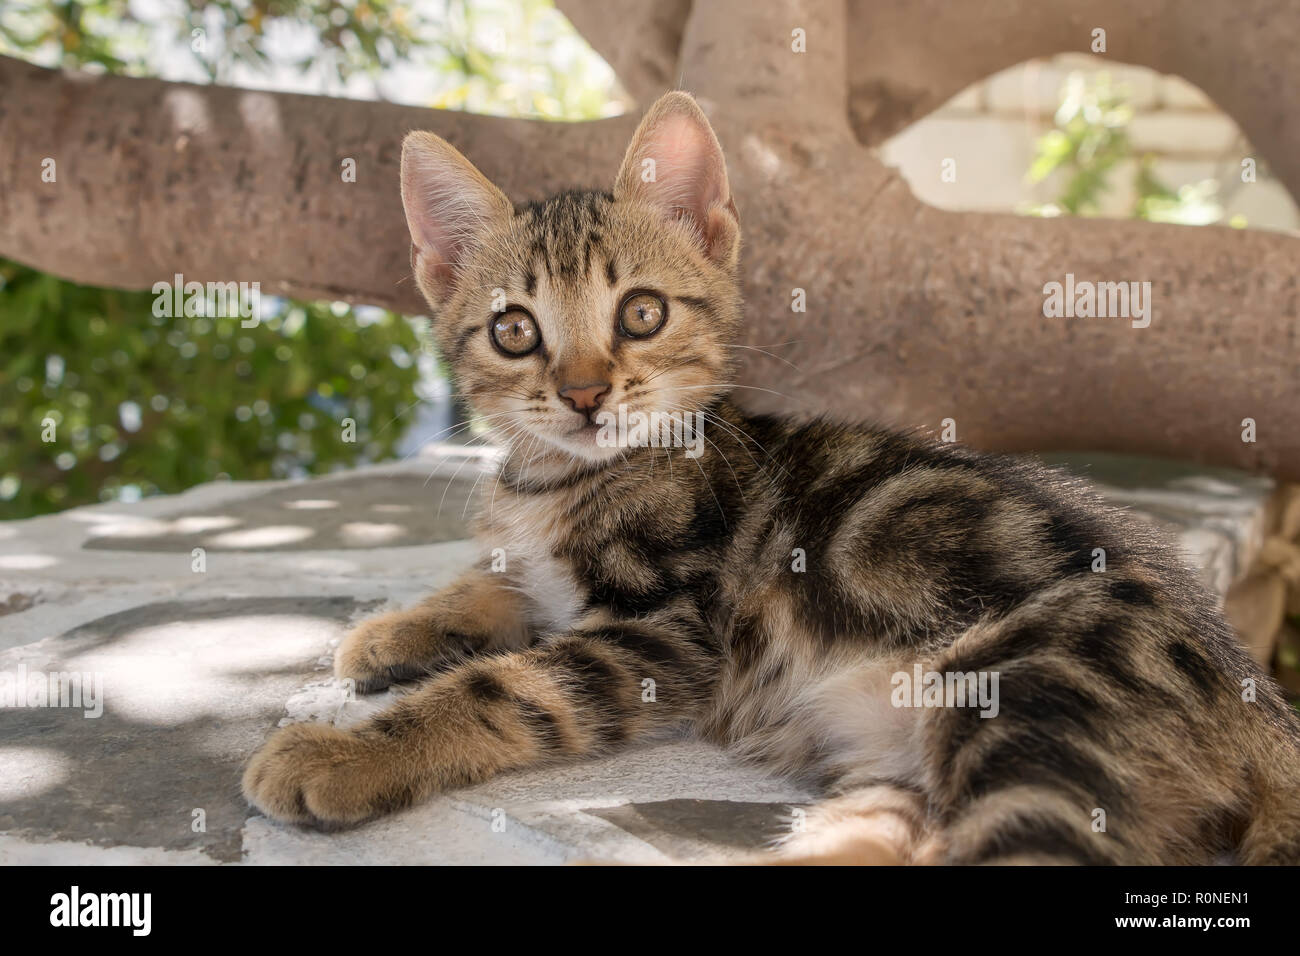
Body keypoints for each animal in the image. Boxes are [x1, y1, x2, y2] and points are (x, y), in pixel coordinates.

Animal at [244, 91, 1300, 868]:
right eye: (514, 330)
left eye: (641, 313)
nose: (584, 395)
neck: (564, 478)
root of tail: (1258, 699)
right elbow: (504, 580)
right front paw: (396, 629)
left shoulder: (666, 634)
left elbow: (511, 689)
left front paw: (342, 750)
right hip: (903, 772)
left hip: (1035, 697)